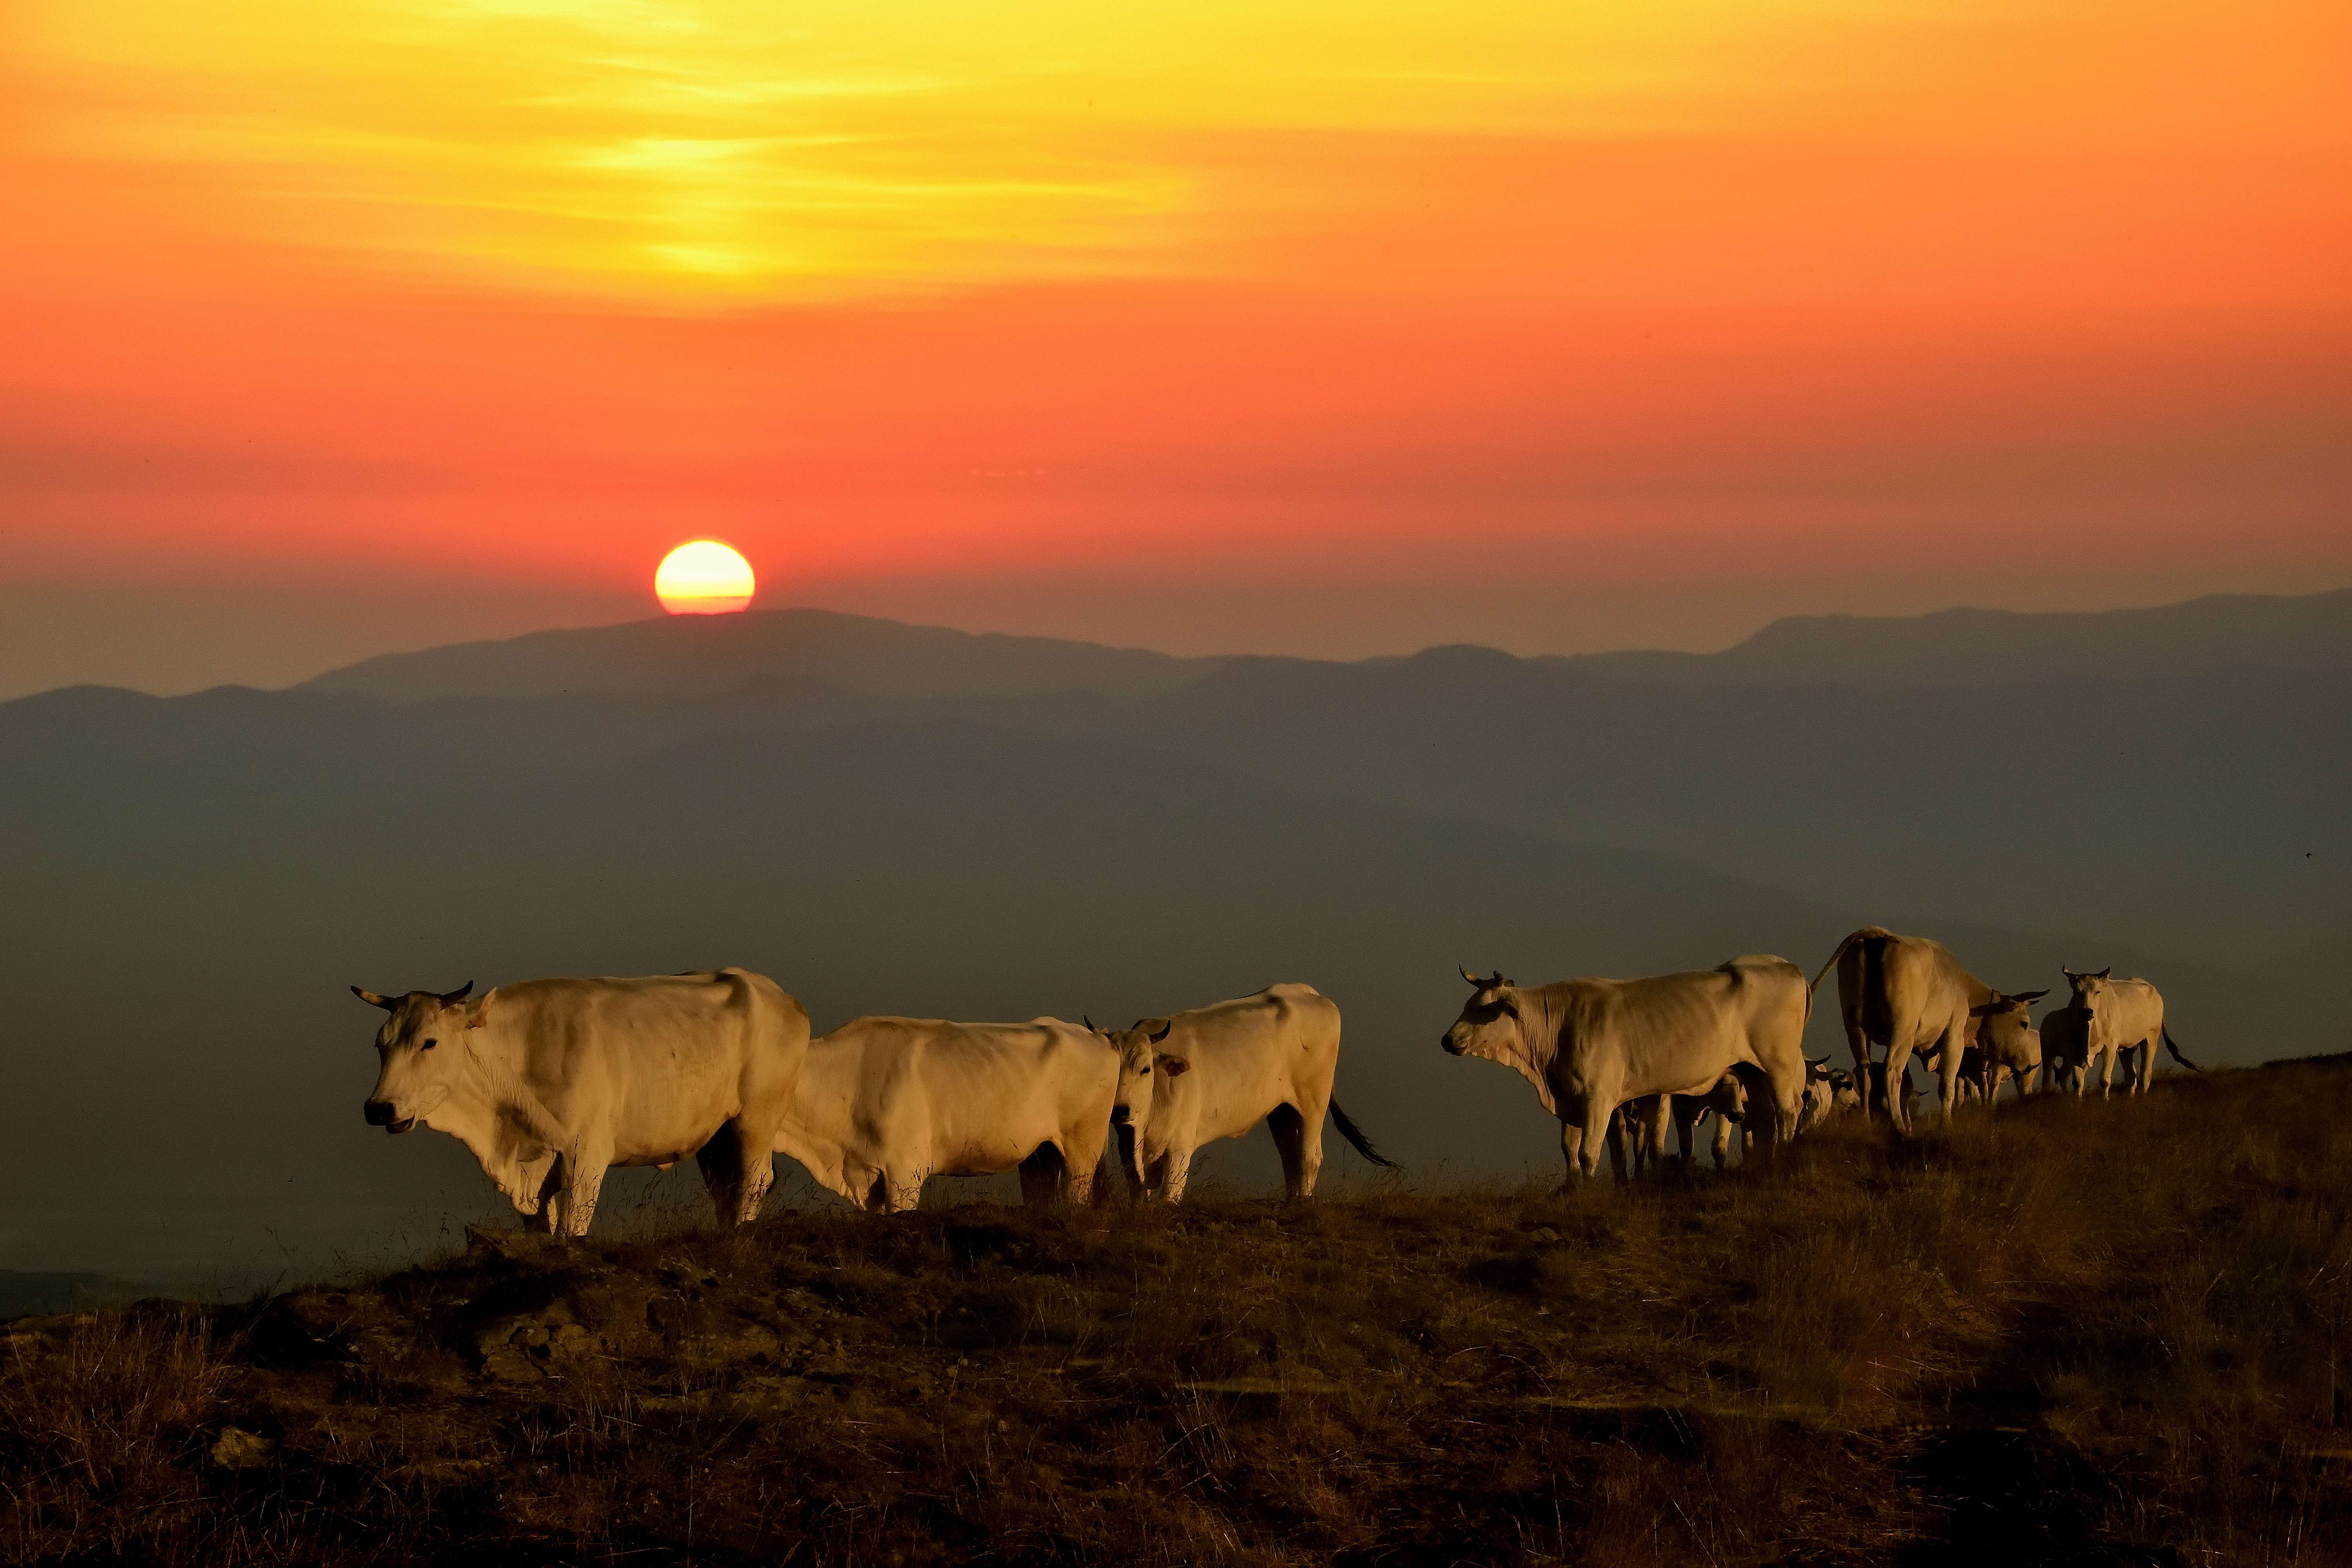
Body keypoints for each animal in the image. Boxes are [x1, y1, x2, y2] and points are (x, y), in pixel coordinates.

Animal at [348, 968, 809, 1241]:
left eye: (429, 1042)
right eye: (379, 1044)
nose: (379, 1108)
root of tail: (779, 994)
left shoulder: (585, 1156)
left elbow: (572, 1232)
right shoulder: (534, 1174)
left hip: (756, 1120)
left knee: (754, 1181)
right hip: (716, 1138)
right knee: (726, 1189)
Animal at [1430, 959, 1797, 1189]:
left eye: (1484, 1008)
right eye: (1467, 1003)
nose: (1447, 1040)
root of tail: (1784, 965)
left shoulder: (1599, 1099)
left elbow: (1588, 1153)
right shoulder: (1574, 1101)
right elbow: (1579, 1150)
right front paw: (1575, 1188)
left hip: (1779, 1067)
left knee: (1787, 1114)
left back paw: (1785, 1162)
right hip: (1752, 1073)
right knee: (1764, 1123)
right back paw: (1765, 1168)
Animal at [1816, 926, 2042, 1133]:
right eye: (2024, 1023)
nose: (2028, 1066)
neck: (1964, 989)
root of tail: (1880, 936)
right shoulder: (1954, 1037)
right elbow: (1947, 1086)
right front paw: (1946, 1125)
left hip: (1856, 1029)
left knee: (1864, 1071)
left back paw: (1866, 1122)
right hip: (1902, 1032)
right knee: (1892, 1070)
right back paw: (1899, 1126)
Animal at [2060, 964, 2201, 1100]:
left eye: (2098, 991)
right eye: (2076, 992)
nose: (2087, 1012)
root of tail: (2155, 993)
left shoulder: (2110, 1048)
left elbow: (2104, 1080)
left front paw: (2105, 1101)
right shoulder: (2073, 1049)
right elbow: (2078, 1082)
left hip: (2151, 1038)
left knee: (2146, 1074)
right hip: (2127, 1049)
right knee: (2131, 1077)